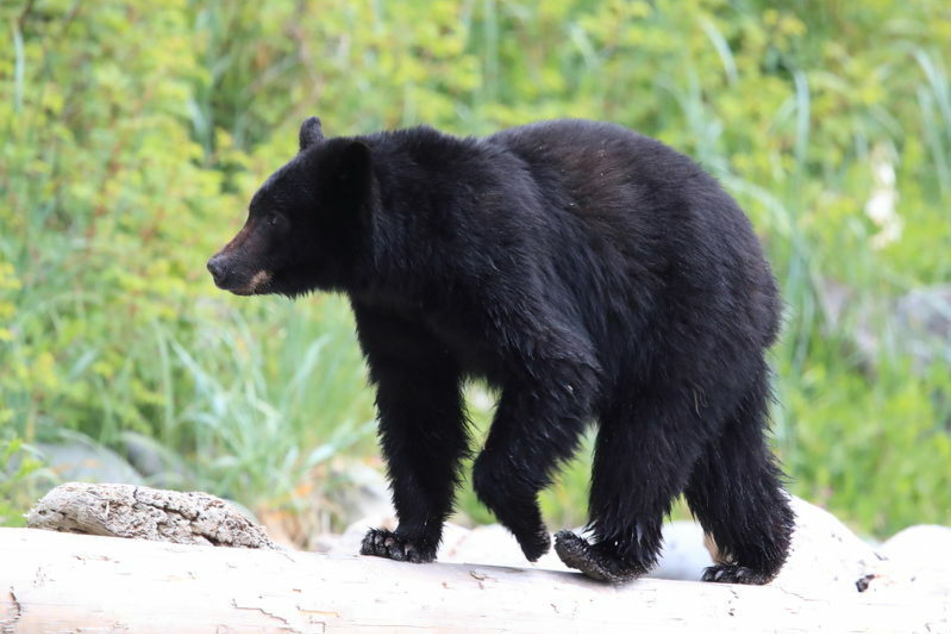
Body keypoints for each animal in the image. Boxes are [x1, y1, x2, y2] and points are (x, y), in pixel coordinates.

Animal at [208, 115, 796, 584]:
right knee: (727, 456)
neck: (410, 257)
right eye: (254, 208)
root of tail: (764, 268)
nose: (218, 265)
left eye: (273, 217)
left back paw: (602, 554)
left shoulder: (493, 256)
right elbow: (418, 408)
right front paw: (399, 539)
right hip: (722, 352)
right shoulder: (394, 312)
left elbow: (557, 364)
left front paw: (530, 530)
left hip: (686, 317)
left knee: (649, 437)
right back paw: (753, 559)